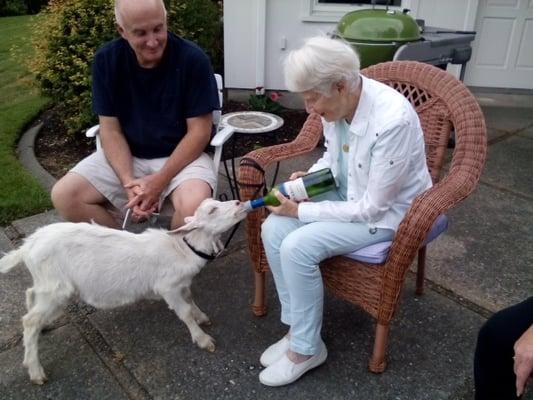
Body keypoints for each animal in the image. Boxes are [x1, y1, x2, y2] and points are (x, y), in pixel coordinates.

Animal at [0, 198, 248, 382]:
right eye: (212, 209)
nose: (239, 202)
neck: (183, 248)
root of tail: (28, 246)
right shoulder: (168, 287)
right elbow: (184, 312)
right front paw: (203, 339)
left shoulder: (182, 284)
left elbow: (191, 300)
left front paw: (202, 317)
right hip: (56, 288)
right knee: (29, 320)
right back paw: (35, 371)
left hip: (47, 283)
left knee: (30, 294)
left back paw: (43, 328)